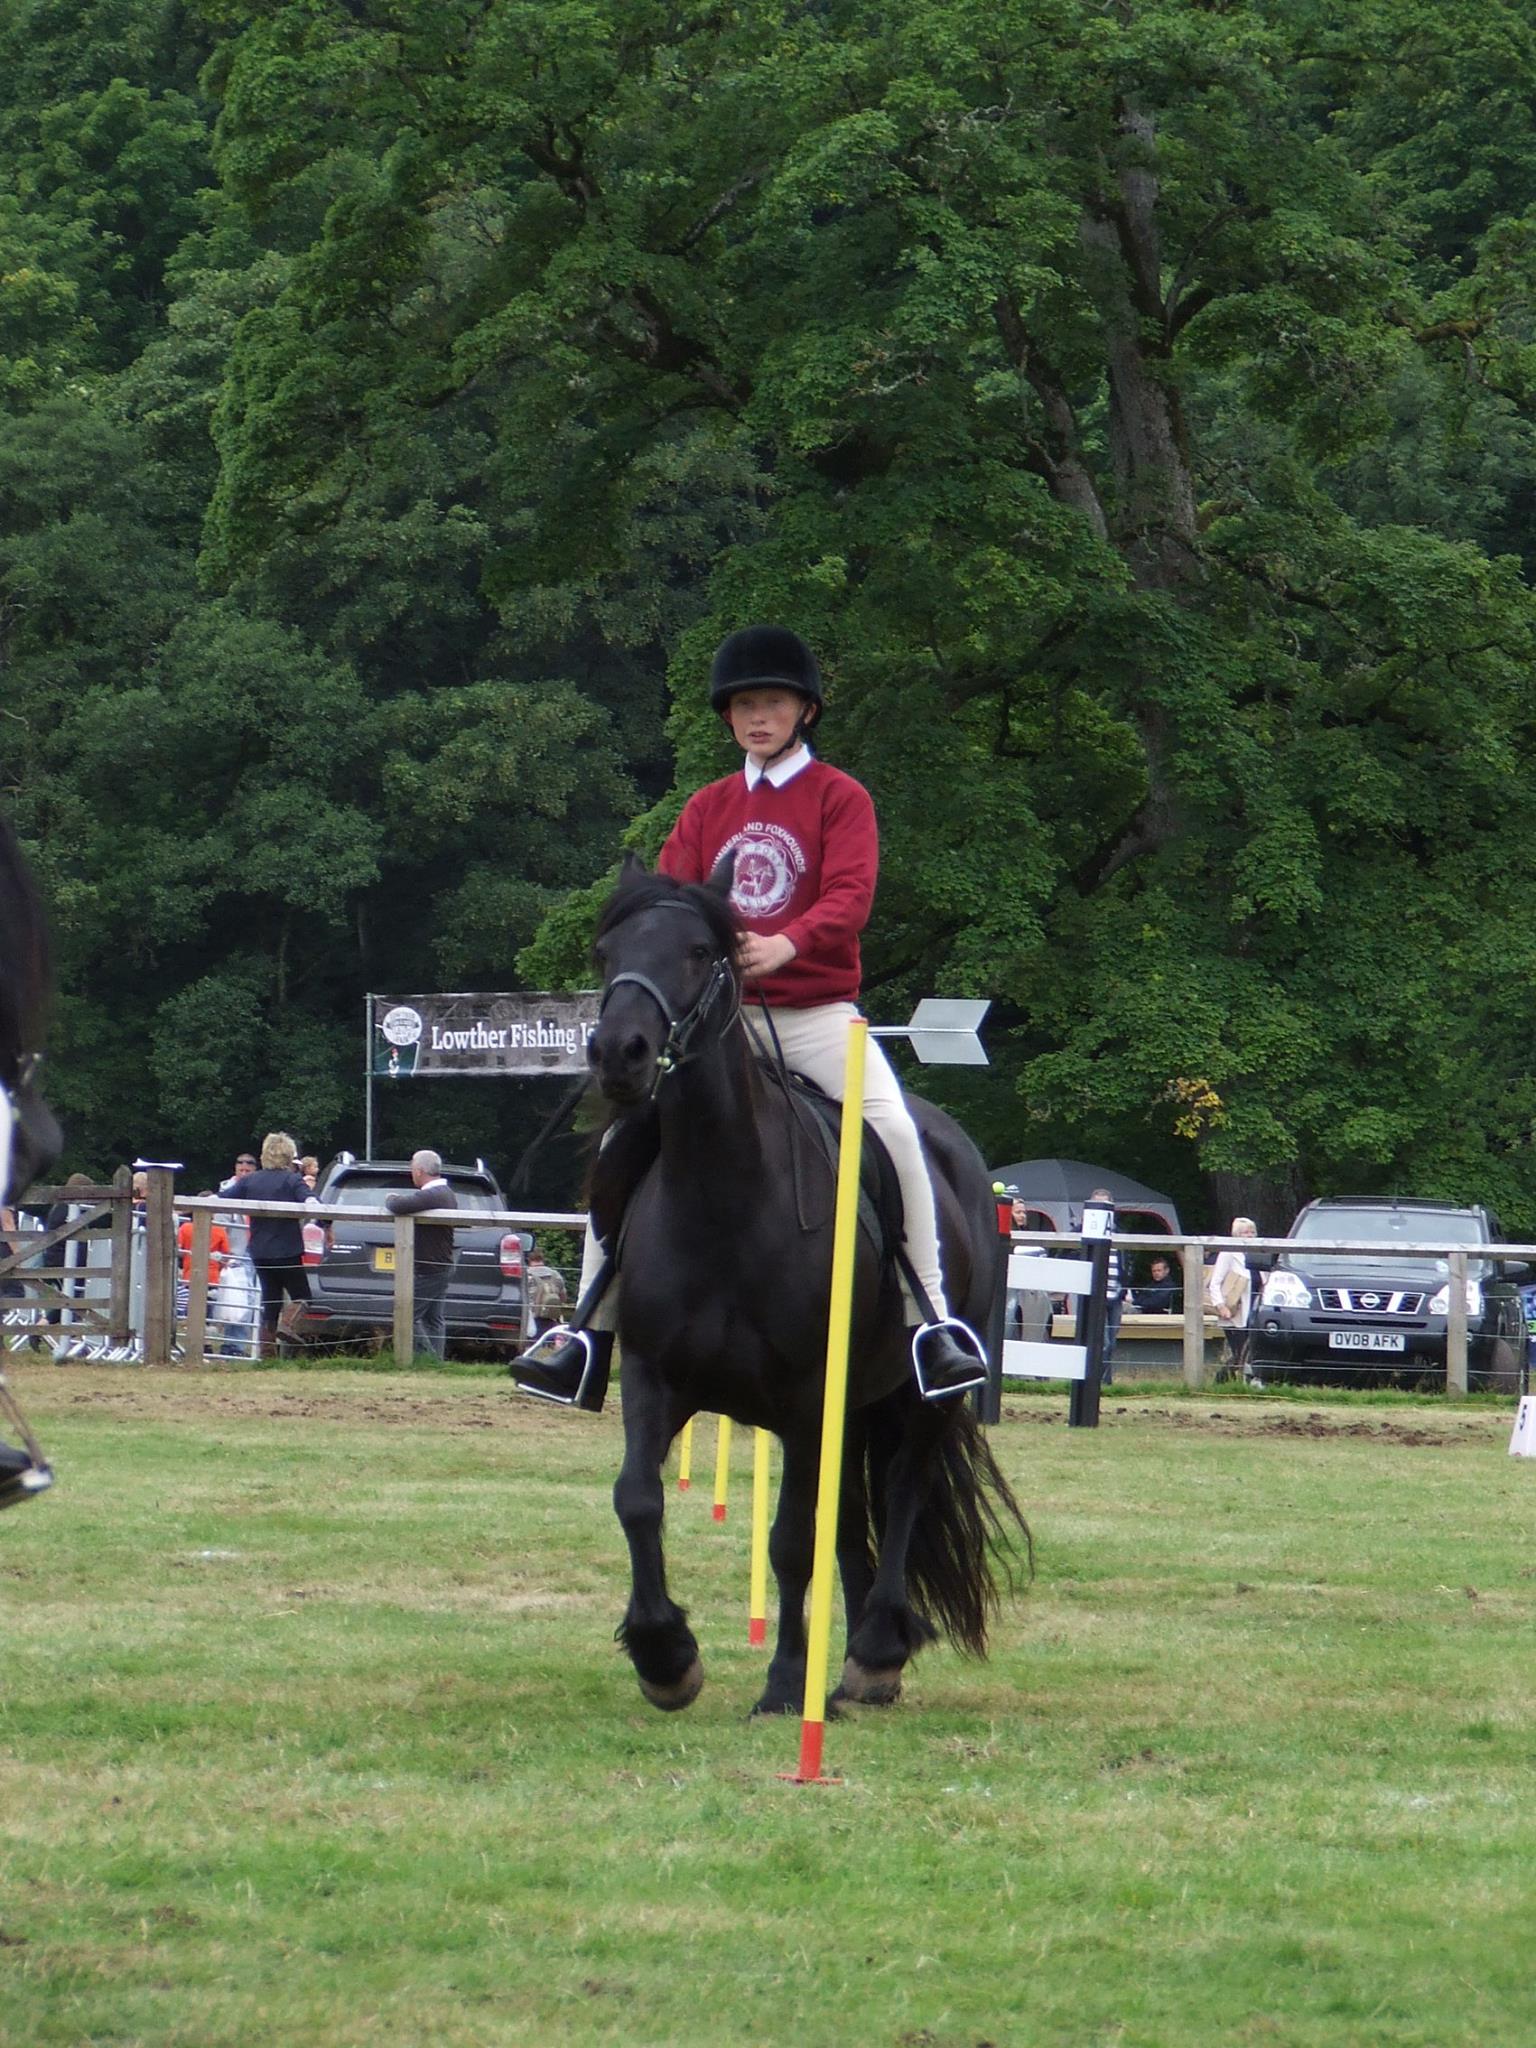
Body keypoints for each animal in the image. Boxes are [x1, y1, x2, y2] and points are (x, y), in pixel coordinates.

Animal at [589, 856, 1036, 1720]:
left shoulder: (804, 1401)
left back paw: (874, 1653)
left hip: (917, 1399)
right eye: (608, 952)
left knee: (901, 1491)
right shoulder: (654, 1379)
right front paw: (665, 1656)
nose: (618, 1053)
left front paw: (782, 1681)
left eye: (699, 951)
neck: (724, 1197)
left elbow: (793, 1540)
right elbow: (636, 1498)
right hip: (857, 1407)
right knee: (854, 1511)